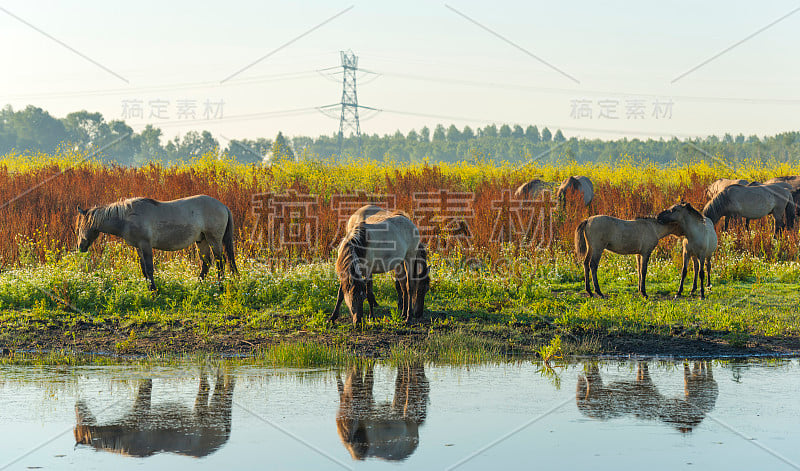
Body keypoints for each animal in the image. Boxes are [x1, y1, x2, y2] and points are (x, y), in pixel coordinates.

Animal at [74, 195, 238, 292]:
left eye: (80, 227)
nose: (80, 247)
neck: (127, 218)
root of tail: (223, 206)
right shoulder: (138, 248)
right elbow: (144, 270)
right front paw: (149, 288)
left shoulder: (146, 245)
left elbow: (150, 269)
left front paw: (153, 291)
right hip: (201, 240)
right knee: (206, 262)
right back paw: (199, 285)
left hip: (214, 240)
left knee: (220, 261)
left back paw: (220, 286)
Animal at [74, 372, 234, 458]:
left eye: (77, 431)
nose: (76, 405)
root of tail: (222, 442)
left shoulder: (142, 408)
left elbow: (145, 385)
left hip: (208, 413)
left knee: (216, 387)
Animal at [576, 362, 720, 436]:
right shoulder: (646, 385)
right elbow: (644, 369)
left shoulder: (644, 383)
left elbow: (641, 370)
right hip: (596, 391)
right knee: (591, 377)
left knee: (590, 378)